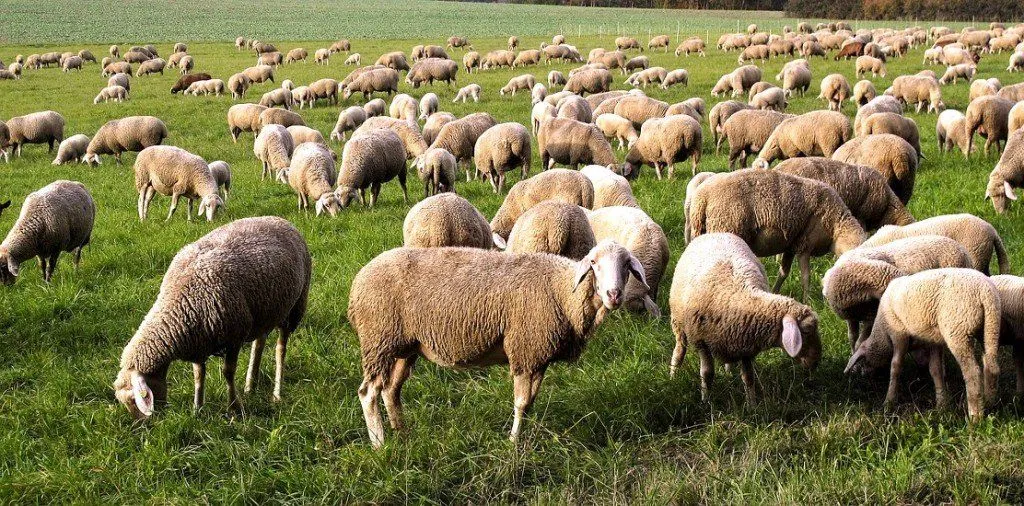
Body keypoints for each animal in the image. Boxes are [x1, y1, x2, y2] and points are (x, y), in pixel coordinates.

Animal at [113, 216, 310, 418]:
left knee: (281, 348)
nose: (145, 425)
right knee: (259, 343)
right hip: (264, 311)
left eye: (134, 401)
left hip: (295, 306)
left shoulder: (234, 338)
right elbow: (199, 376)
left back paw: (277, 393)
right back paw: (250, 385)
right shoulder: (198, 343)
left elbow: (228, 373)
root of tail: (279, 219)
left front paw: (234, 409)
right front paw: (197, 409)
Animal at [351, 239, 645, 447]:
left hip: (404, 347)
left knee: (391, 390)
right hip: (379, 339)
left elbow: (530, 403)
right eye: (593, 262)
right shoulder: (526, 349)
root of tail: (358, 282)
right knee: (369, 393)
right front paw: (513, 442)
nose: (614, 294)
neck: (562, 291)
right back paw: (380, 443)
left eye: (627, 264)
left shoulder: (538, 356)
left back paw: (402, 432)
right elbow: (521, 403)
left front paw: (523, 437)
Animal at [668, 233, 821, 402]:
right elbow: (707, 374)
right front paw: (706, 401)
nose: (816, 362)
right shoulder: (701, 342)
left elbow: (748, 378)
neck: (736, 298)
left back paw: (728, 373)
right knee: (679, 350)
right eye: (806, 331)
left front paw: (752, 404)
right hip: (678, 323)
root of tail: (716, 233)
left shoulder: (746, 347)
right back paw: (673, 375)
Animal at [688, 169, 866, 301]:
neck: (835, 224)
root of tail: (701, 198)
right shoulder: (805, 244)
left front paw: (775, 291)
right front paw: (808, 300)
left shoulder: (791, 245)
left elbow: (783, 273)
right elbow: (806, 277)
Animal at [844, 268, 1001, 422]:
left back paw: (975, 417)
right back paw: (990, 404)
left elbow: (895, 367)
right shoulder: (934, 341)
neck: (883, 332)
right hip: (989, 328)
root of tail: (985, 292)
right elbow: (935, 369)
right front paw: (942, 405)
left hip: (958, 330)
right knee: (990, 365)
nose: (866, 377)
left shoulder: (899, 334)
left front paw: (889, 402)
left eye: (863, 361)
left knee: (972, 372)